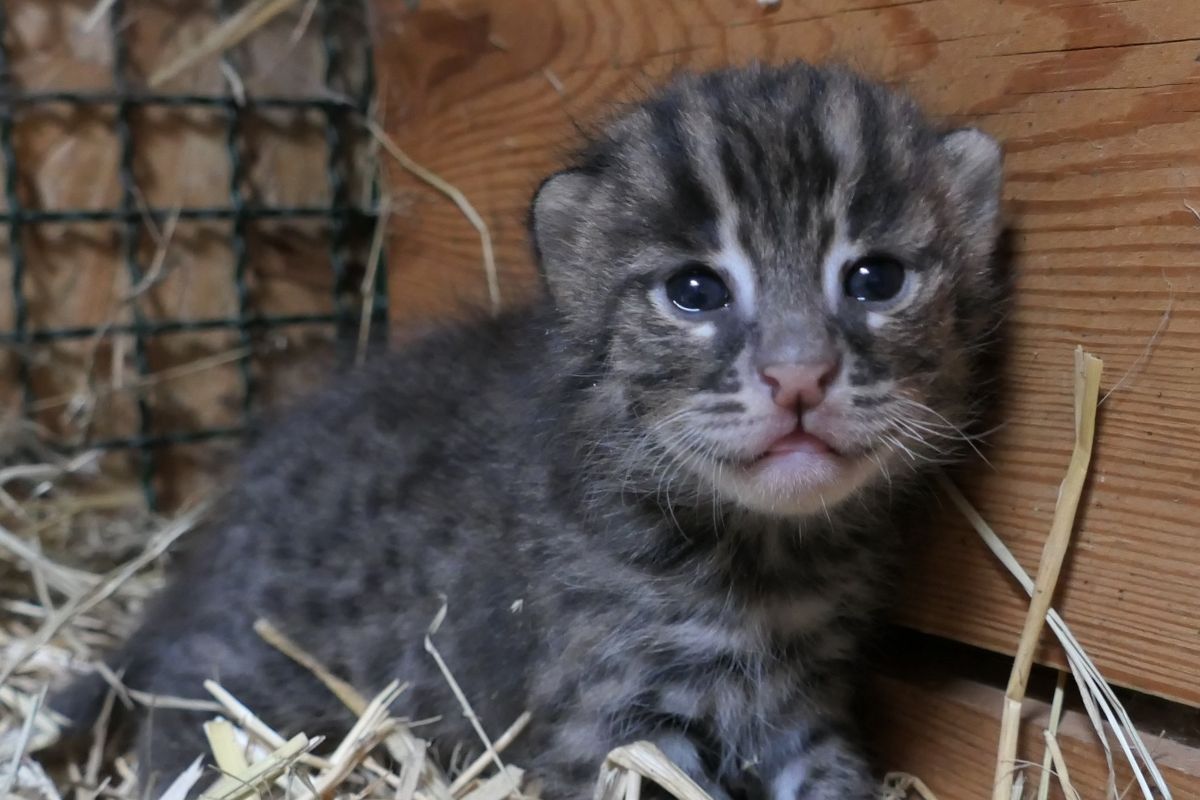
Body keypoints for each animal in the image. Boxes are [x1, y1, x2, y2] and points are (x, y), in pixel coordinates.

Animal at [60, 64, 1008, 800]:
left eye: (875, 278)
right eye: (695, 291)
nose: (799, 375)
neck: (765, 561)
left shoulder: (804, 707)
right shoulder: (605, 718)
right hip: (260, 663)